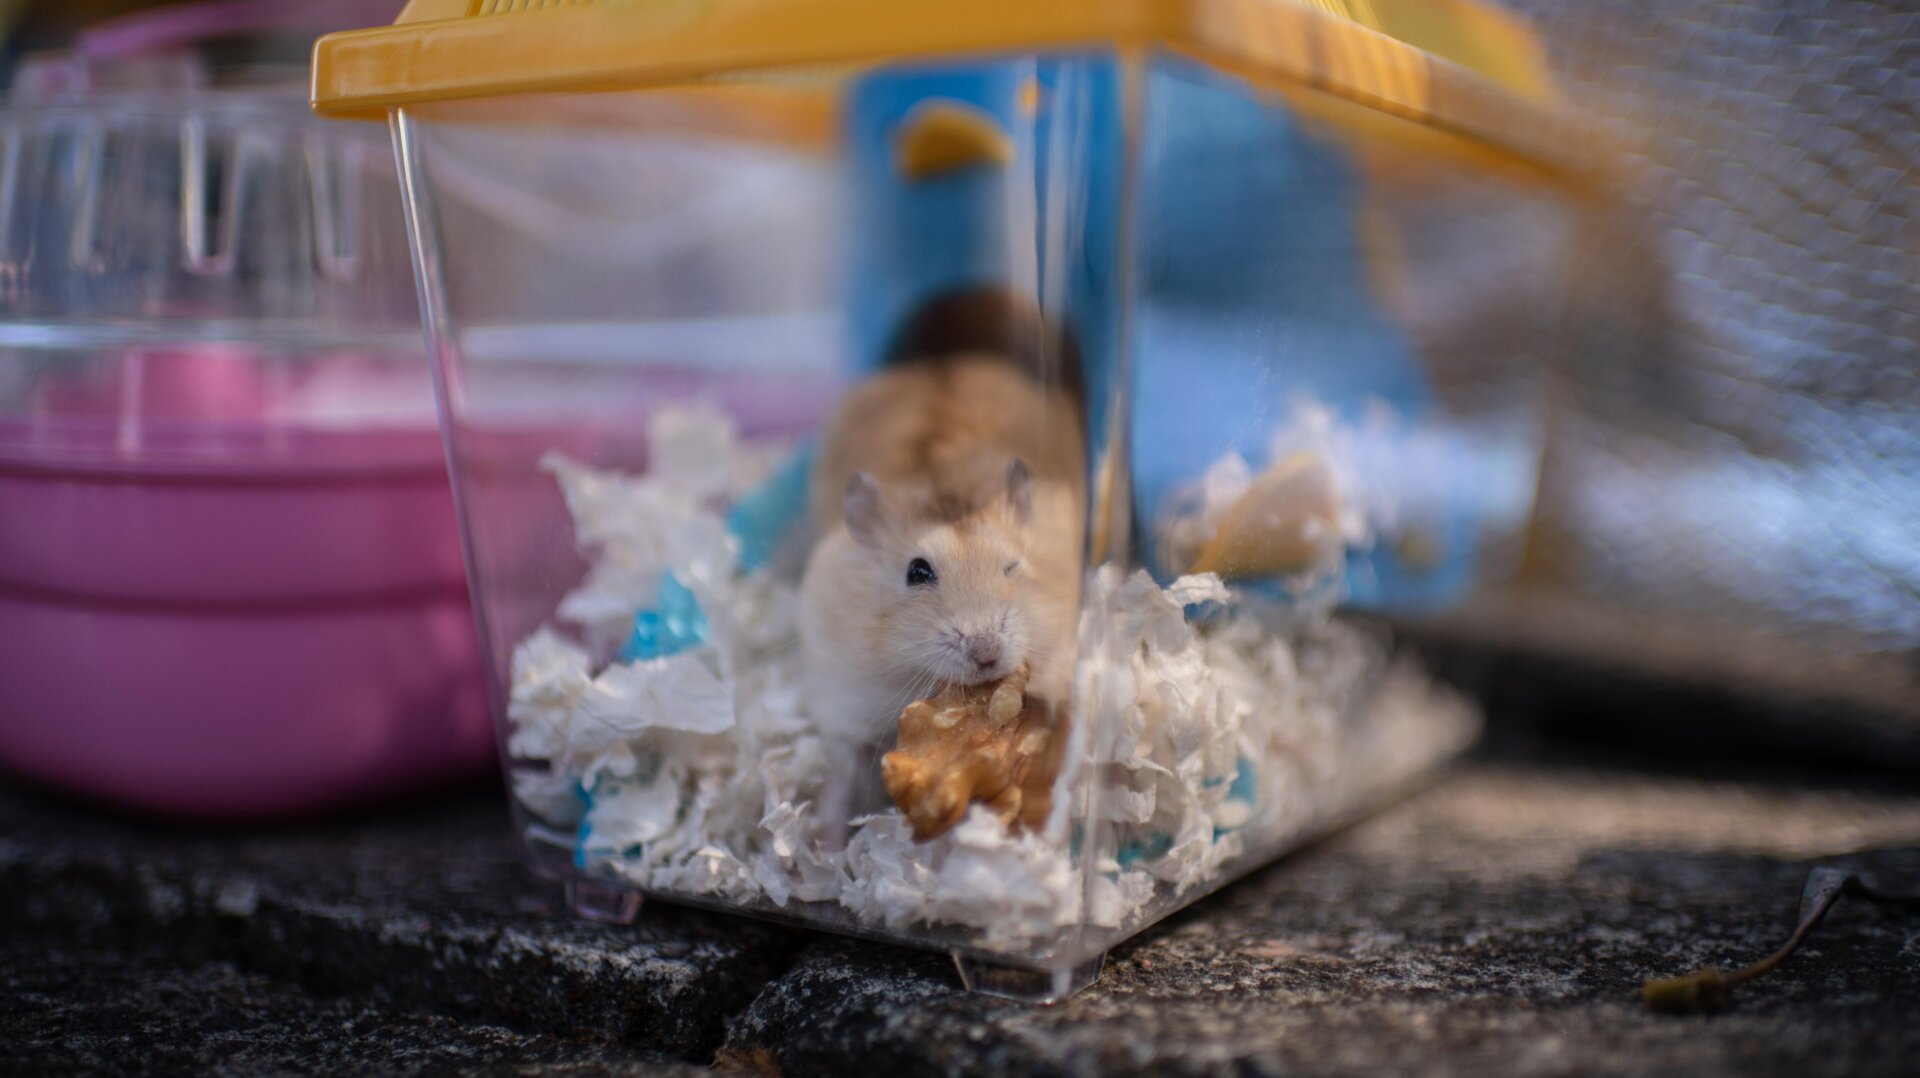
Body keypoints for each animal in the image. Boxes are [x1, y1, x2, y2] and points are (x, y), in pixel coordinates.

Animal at [798, 293, 1087, 839]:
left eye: (1013, 567)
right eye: (917, 572)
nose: (986, 653)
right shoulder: (843, 702)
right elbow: (840, 780)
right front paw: (823, 849)